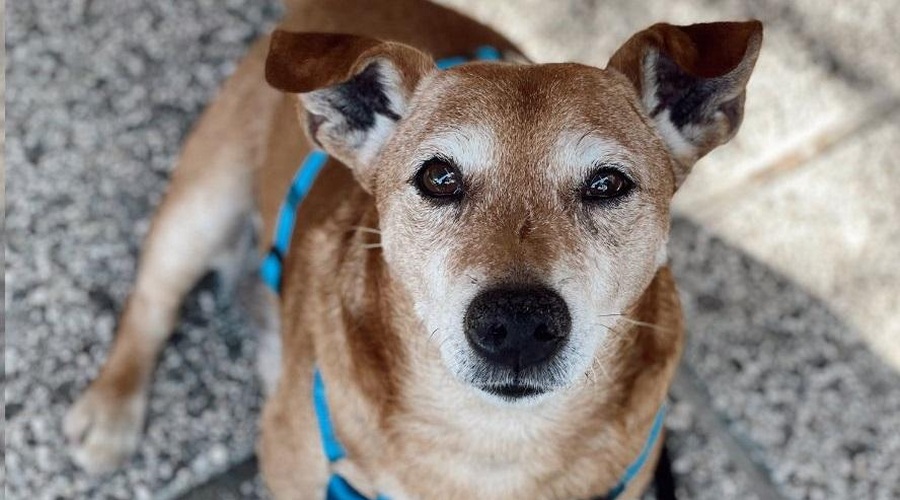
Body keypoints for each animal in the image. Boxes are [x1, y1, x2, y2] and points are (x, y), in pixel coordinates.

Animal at [63, 1, 760, 498]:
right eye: (439, 178)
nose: (517, 323)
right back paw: (110, 410)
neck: (492, 442)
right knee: (151, 302)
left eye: (608, 184)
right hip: (202, 204)